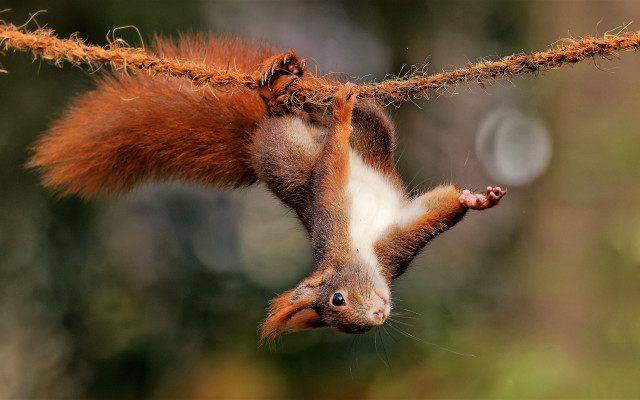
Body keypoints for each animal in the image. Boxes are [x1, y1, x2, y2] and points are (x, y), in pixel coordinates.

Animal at [27, 35, 506, 341]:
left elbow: (336, 166)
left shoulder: (366, 232)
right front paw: (473, 199)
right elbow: (432, 211)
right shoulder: (386, 239)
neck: (358, 248)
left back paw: (286, 80)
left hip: (355, 140)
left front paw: (475, 198)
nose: (377, 315)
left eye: (337, 298)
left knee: (336, 111)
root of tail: (254, 142)